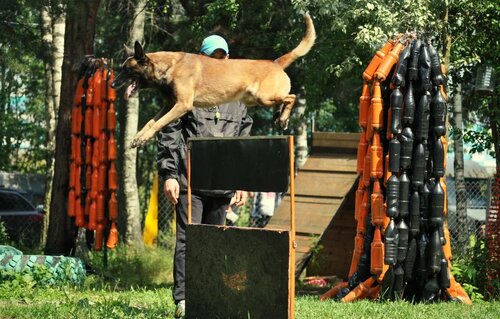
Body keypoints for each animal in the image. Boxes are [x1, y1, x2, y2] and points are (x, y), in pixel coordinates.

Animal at [114, 12, 316, 148]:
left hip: (263, 97)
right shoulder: (169, 105)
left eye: (126, 70)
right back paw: (281, 117)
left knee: (292, 97)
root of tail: (275, 62)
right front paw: (138, 136)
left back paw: (283, 117)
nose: (112, 84)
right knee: (285, 99)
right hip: (257, 99)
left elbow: (159, 123)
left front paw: (143, 137)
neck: (169, 66)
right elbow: (151, 121)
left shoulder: (182, 105)